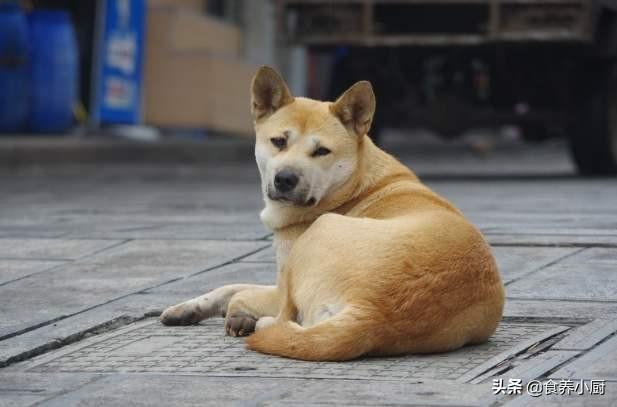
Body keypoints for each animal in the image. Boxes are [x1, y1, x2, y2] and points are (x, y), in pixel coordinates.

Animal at [161, 67, 502, 364]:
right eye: (279, 141)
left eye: (321, 151)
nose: (285, 179)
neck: (355, 184)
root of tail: (371, 313)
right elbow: (227, 287)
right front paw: (187, 309)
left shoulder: (281, 283)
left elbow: (236, 291)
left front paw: (237, 316)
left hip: (319, 235)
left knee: (283, 316)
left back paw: (258, 323)